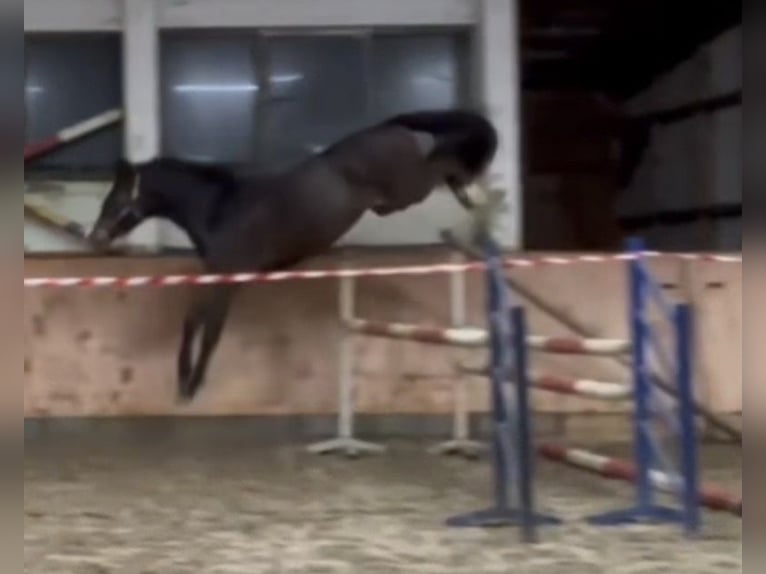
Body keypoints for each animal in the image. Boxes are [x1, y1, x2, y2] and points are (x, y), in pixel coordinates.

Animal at [89, 109, 499, 402]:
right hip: (396, 199)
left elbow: (211, 333)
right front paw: (182, 381)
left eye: (116, 199)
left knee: (444, 161)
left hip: (405, 191)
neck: (220, 208)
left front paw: (192, 387)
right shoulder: (214, 273)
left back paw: (475, 198)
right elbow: (191, 322)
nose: (95, 238)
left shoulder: (229, 278)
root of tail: (392, 128)